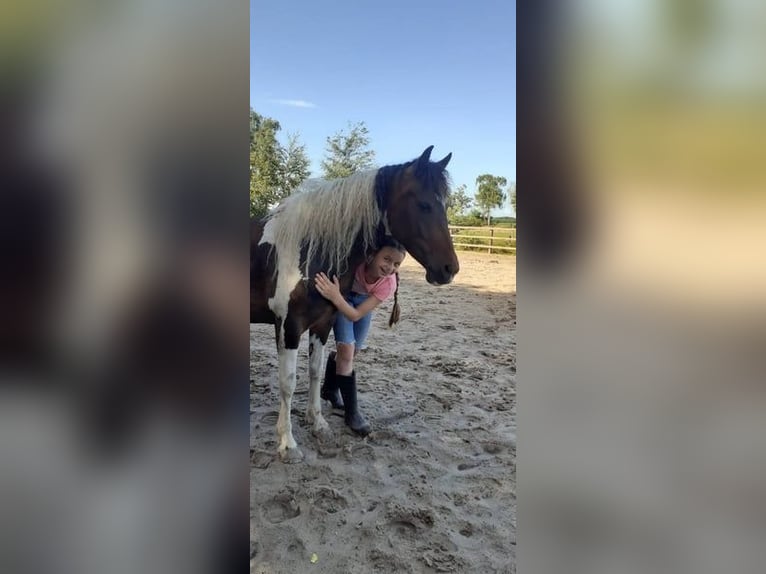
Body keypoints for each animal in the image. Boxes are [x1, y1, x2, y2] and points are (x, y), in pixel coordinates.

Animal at [250, 145, 459, 462]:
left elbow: (315, 371)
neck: (309, 250)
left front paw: (318, 423)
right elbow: (288, 382)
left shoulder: (322, 323)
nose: (449, 269)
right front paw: (288, 444)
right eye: (424, 205)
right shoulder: (288, 327)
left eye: (444, 205)